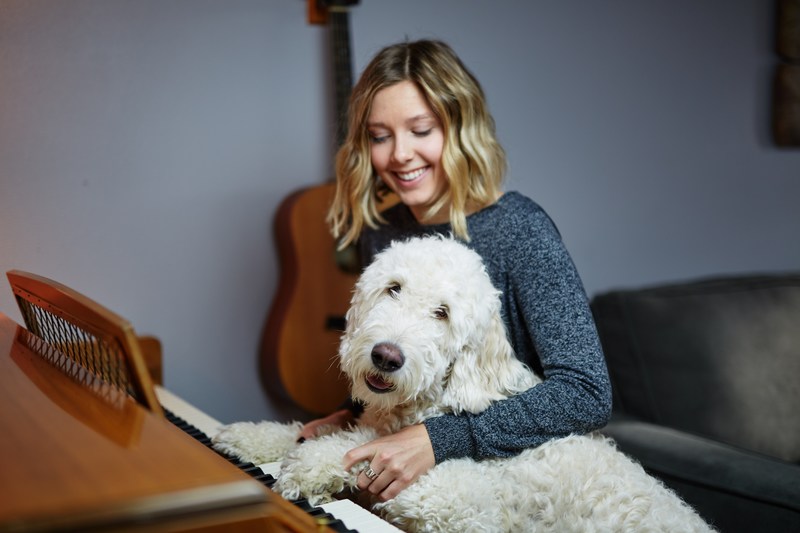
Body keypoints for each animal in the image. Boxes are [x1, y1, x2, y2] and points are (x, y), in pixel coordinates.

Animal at [214, 235, 712, 528]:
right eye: (393, 287)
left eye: (443, 312)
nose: (387, 356)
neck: (429, 403)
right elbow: (304, 431)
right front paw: (250, 437)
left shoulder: (459, 504)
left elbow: (361, 451)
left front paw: (313, 464)